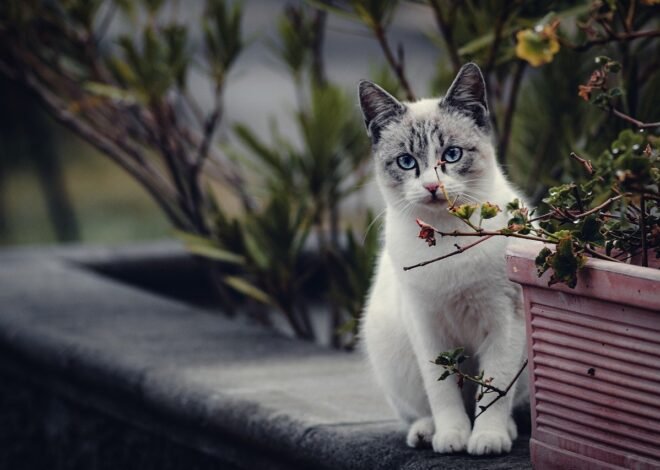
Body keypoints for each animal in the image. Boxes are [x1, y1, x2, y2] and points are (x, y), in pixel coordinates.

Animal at [358, 62, 528, 456]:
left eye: (451, 155)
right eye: (406, 162)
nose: (433, 187)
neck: (448, 238)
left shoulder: (505, 318)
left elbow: (494, 390)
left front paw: (487, 438)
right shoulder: (425, 325)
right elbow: (443, 391)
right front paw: (453, 436)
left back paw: (508, 430)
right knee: (421, 408)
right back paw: (425, 432)